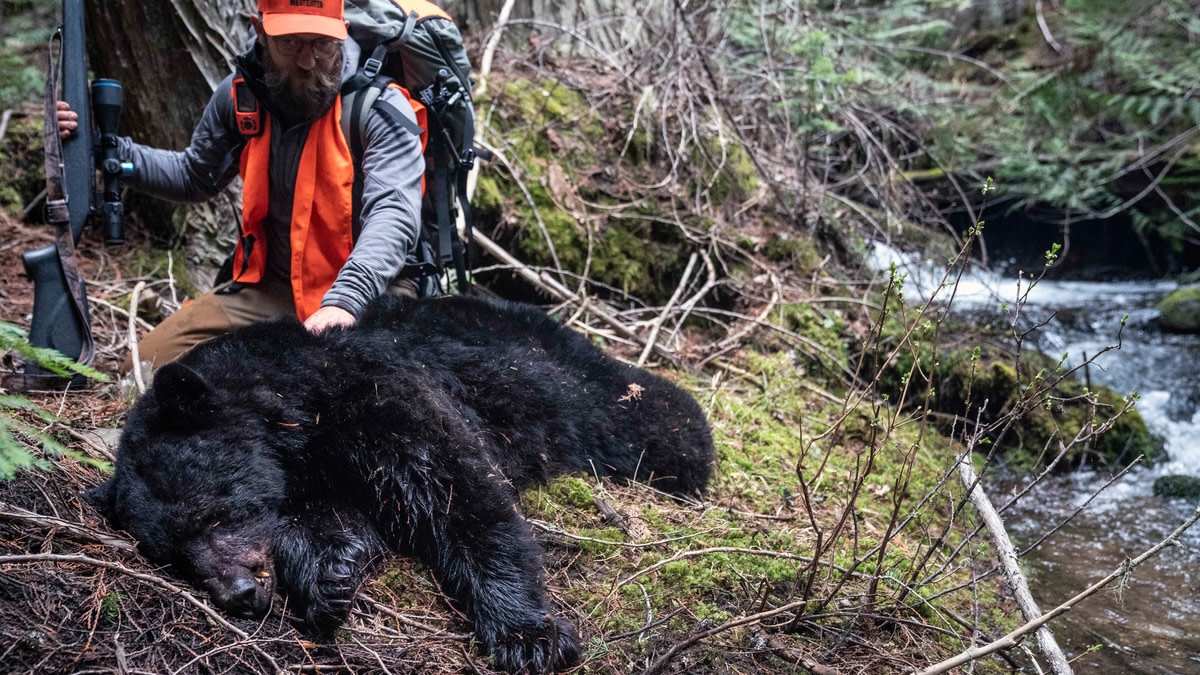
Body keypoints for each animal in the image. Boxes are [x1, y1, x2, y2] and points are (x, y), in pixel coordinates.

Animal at [86, 294, 715, 673]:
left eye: (213, 513)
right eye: (173, 555)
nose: (237, 591)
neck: (296, 413)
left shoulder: (378, 394)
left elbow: (461, 495)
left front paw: (530, 637)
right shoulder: (315, 469)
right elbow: (331, 518)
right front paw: (329, 575)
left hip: (571, 387)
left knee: (649, 416)